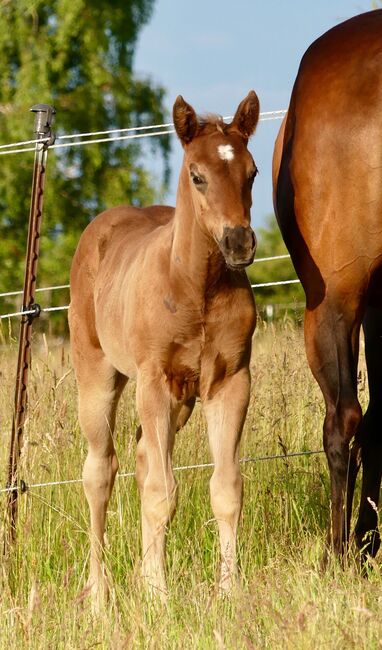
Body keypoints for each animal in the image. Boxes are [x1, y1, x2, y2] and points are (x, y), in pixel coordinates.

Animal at [68, 90, 260, 604]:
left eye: (253, 172)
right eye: (197, 175)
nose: (239, 242)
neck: (197, 287)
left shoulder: (230, 382)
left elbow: (226, 488)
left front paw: (229, 591)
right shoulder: (153, 380)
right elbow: (161, 490)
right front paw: (158, 594)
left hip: (182, 399)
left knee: (138, 458)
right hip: (99, 376)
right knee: (100, 471)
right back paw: (100, 590)